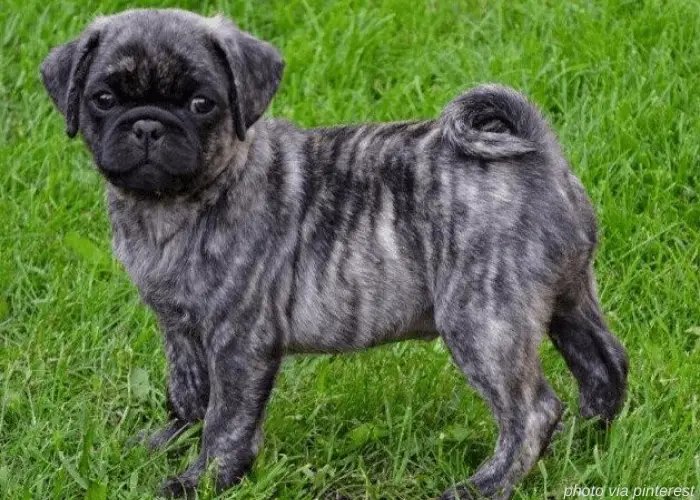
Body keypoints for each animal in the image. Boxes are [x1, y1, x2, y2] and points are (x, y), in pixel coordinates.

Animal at [39, 8, 628, 500]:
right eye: (103, 99)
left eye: (202, 104)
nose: (147, 124)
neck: (176, 202)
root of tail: (538, 149)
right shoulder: (181, 329)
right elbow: (188, 393)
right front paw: (170, 441)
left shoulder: (239, 338)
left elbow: (226, 418)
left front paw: (203, 480)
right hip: (567, 299)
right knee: (604, 365)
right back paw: (583, 447)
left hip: (483, 320)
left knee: (530, 411)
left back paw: (487, 485)